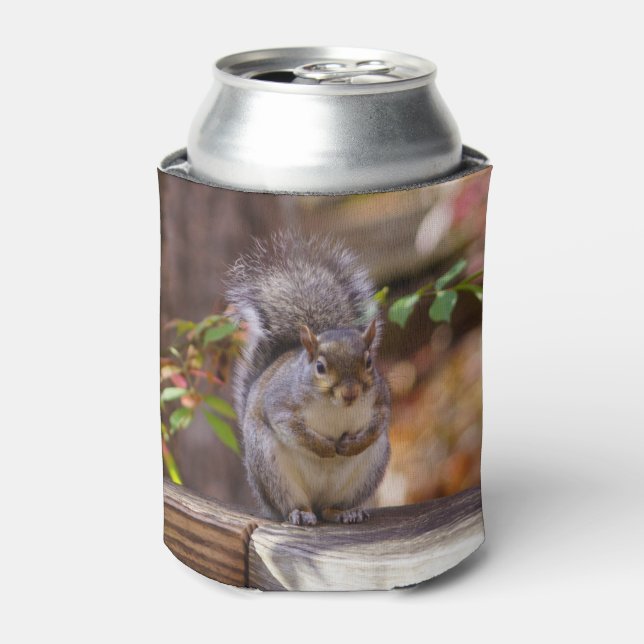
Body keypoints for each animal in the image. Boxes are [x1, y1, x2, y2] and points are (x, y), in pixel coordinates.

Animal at [226, 232, 391, 526]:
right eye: (320, 367)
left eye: (369, 362)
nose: (350, 393)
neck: (335, 406)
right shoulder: (280, 401)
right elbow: (291, 427)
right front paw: (324, 448)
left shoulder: (380, 400)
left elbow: (378, 423)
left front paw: (351, 444)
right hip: (271, 468)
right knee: (292, 503)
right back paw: (300, 514)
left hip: (368, 469)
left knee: (330, 507)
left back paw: (344, 512)